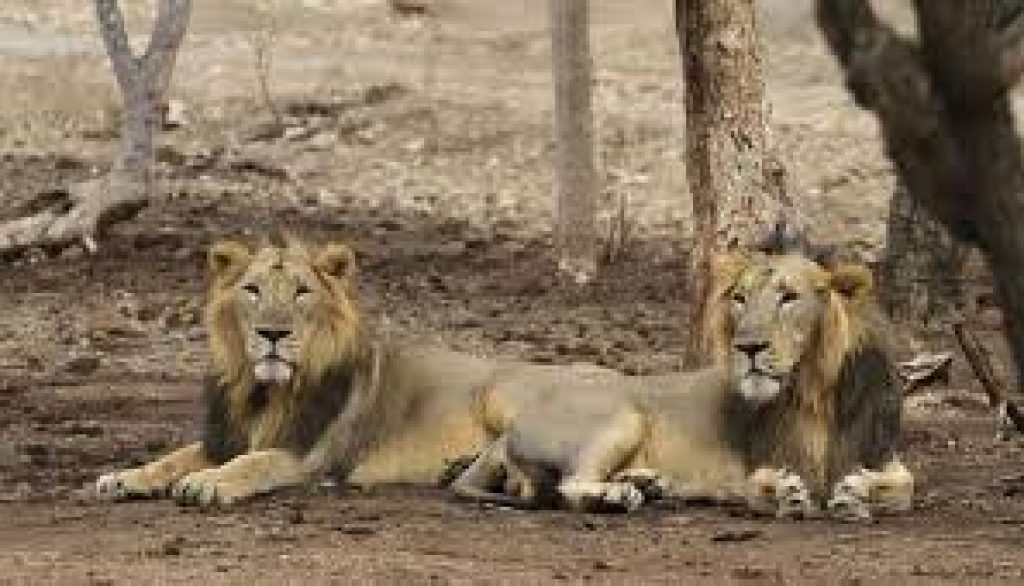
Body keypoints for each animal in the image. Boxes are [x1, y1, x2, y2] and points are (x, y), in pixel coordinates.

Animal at [449, 249, 914, 520]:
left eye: (789, 297)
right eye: (740, 298)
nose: (748, 347)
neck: (814, 392)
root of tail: (511, 429)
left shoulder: (882, 453)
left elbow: (903, 486)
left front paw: (855, 491)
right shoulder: (749, 469)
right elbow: (762, 485)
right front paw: (787, 493)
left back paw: (644, 484)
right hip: (624, 413)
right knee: (570, 487)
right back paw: (617, 496)